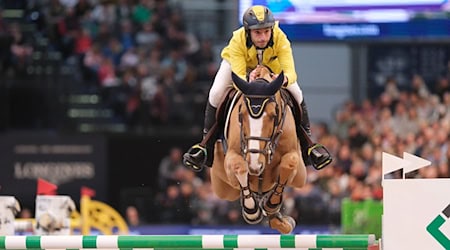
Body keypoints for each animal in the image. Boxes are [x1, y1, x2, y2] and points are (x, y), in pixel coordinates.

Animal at [210, 65, 306, 234]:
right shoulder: (232, 158)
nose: (255, 164)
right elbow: (238, 166)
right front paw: (251, 210)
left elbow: (290, 162)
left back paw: (281, 220)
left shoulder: (297, 165)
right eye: (241, 114)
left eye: (274, 115)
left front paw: (272, 204)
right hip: (223, 188)